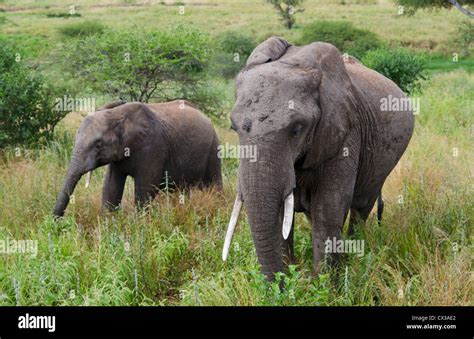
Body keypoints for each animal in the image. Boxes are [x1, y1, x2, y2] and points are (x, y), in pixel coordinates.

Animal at [53, 100, 222, 218]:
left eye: (98, 145)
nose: (56, 222)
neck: (118, 114)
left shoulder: (153, 146)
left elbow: (145, 189)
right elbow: (111, 187)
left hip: (214, 148)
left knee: (215, 185)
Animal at [222, 37, 414, 282]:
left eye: (296, 129)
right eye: (233, 128)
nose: (280, 286)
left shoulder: (346, 133)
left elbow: (328, 209)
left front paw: (324, 285)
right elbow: (281, 215)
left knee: (361, 206)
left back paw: (355, 258)